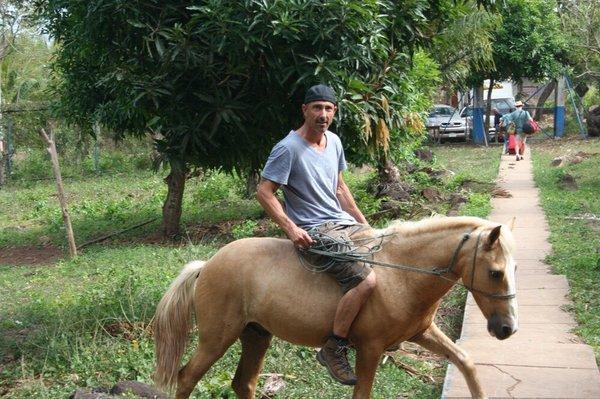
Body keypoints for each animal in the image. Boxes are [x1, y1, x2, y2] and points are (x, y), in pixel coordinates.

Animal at [157, 217, 516, 398]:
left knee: (243, 383)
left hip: (256, 335)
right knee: (186, 377)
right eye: (495, 272)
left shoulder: (422, 333)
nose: (507, 328)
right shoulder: (370, 349)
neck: (400, 273)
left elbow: (466, 362)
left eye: (514, 269)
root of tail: (208, 264)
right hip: (216, 338)